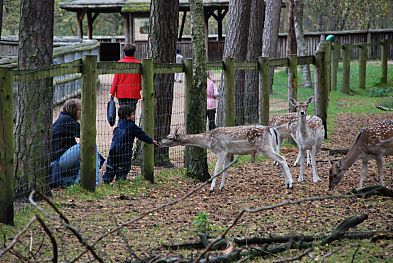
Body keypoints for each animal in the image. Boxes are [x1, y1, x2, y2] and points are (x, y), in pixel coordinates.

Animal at [158, 126, 292, 192]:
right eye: (167, 135)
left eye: (170, 137)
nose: (159, 142)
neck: (208, 141)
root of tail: (271, 129)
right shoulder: (228, 153)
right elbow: (225, 170)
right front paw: (221, 187)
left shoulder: (221, 151)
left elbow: (217, 169)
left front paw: (212, 188)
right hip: (269, 147)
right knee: (280, 160)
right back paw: (286, 183)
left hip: (265, 147)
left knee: (282, 159)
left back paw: (291, 184)